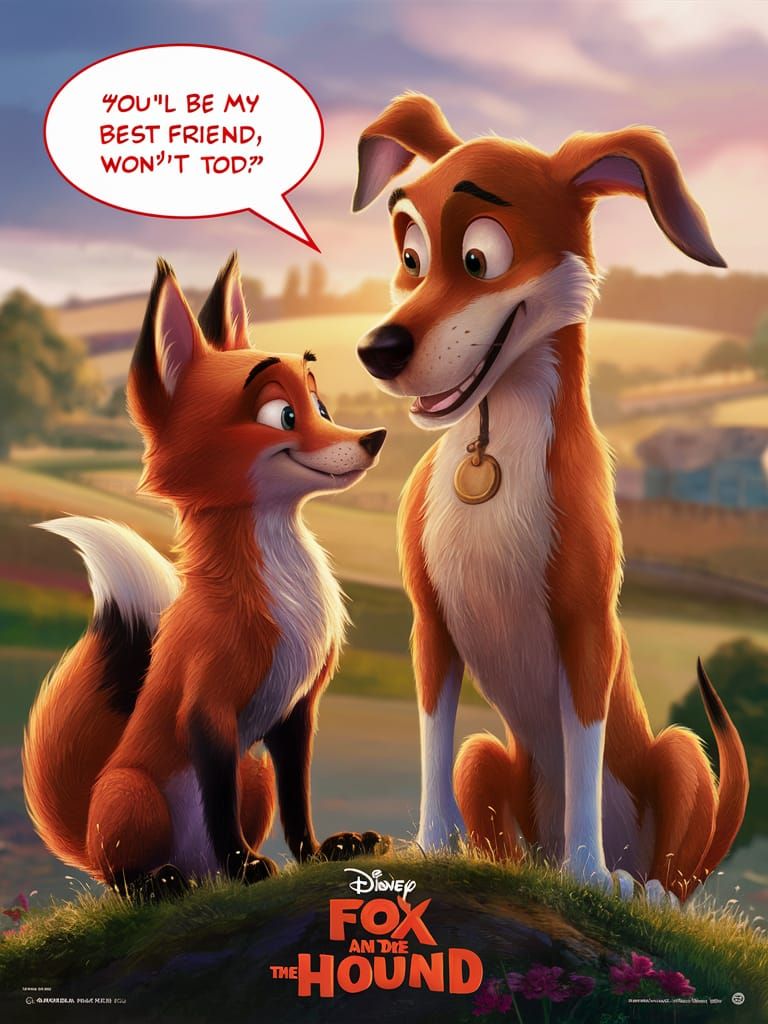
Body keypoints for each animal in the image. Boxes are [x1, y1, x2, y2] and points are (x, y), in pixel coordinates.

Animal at [23, 255, 388, 896]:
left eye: (322, 408)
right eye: (283, 415)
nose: (374, 438)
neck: (283, 596)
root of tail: (85, 828)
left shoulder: (296, 711)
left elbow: (298, 801)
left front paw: (320, 852)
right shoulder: (206, 709)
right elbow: (218, 804)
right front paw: (247, 867)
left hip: (253, 774)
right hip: (133, 794)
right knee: (120, 876)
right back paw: (162, 882)